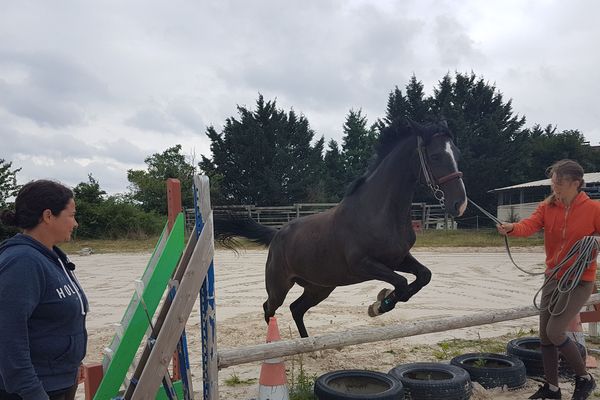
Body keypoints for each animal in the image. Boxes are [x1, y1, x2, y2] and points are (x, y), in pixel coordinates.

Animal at [216, 119, 468, 338]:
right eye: (435, 156)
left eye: (457, 154)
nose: (460, 204)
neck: (378, 211)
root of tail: (277, 233)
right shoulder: (363, 264)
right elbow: (402, 284)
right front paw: (380, 303)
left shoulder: (398, 258)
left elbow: (423, 276)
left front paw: (380, 302)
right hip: (280, 285)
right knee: (269, 307)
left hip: (320, 287)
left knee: (296, 308)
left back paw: (309, 346)